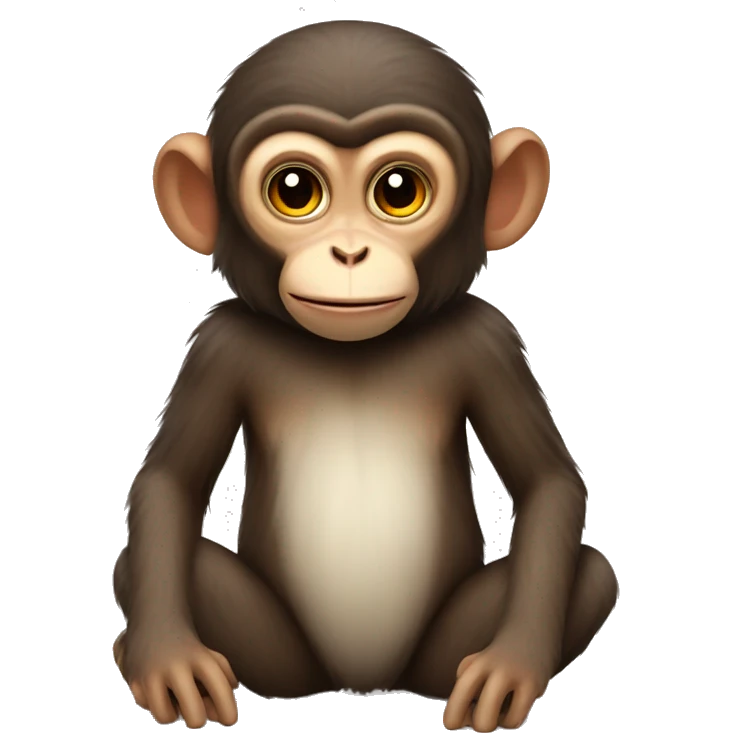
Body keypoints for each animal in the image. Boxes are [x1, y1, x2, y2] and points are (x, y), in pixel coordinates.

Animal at [115, 21, 618, 732]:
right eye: (294, 190)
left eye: (398, 191)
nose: (349, 252)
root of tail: (362, 682)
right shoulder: (219, 344)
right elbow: (171, 483)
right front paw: (167, 660)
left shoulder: (489, 341)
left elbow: (546, 481)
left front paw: (511, 666)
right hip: (280, 660)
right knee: (144, 563)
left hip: (437, 658)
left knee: (594, 576)